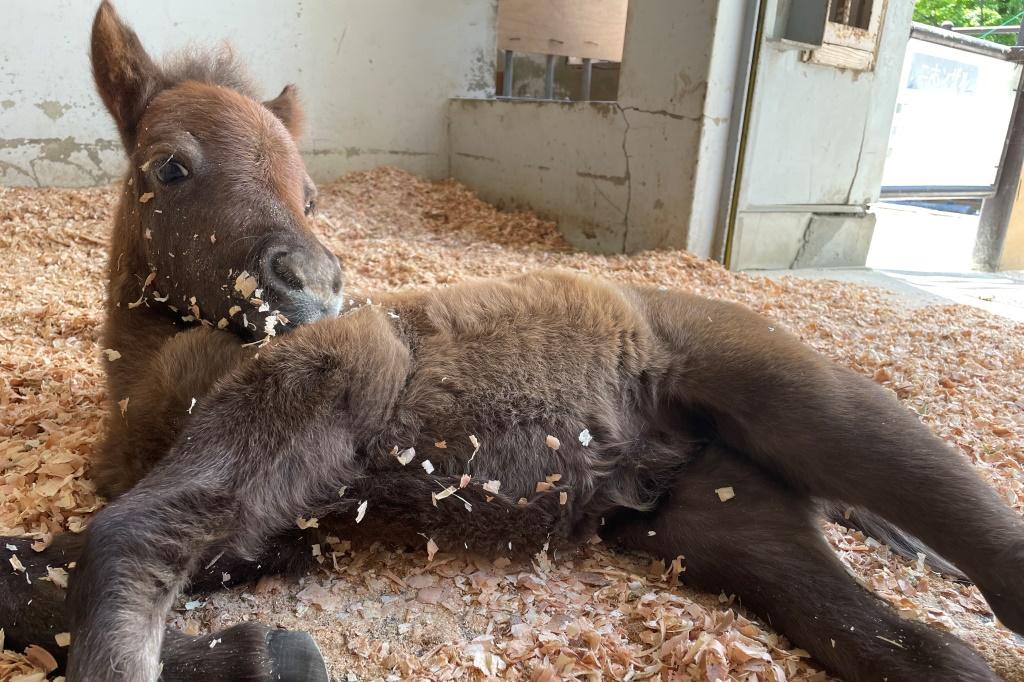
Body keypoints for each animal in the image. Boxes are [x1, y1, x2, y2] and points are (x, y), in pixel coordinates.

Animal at [2, 2, 1024, 675]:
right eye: (170, 168)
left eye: (314, 193)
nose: (315, 288)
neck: (146, 373)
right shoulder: (276, 525)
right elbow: (44, 571)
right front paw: (254, 651)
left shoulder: (333, 374)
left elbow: (116, 540)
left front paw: (250, 653)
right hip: (723, 523)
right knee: (920, 648)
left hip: (805, 399)